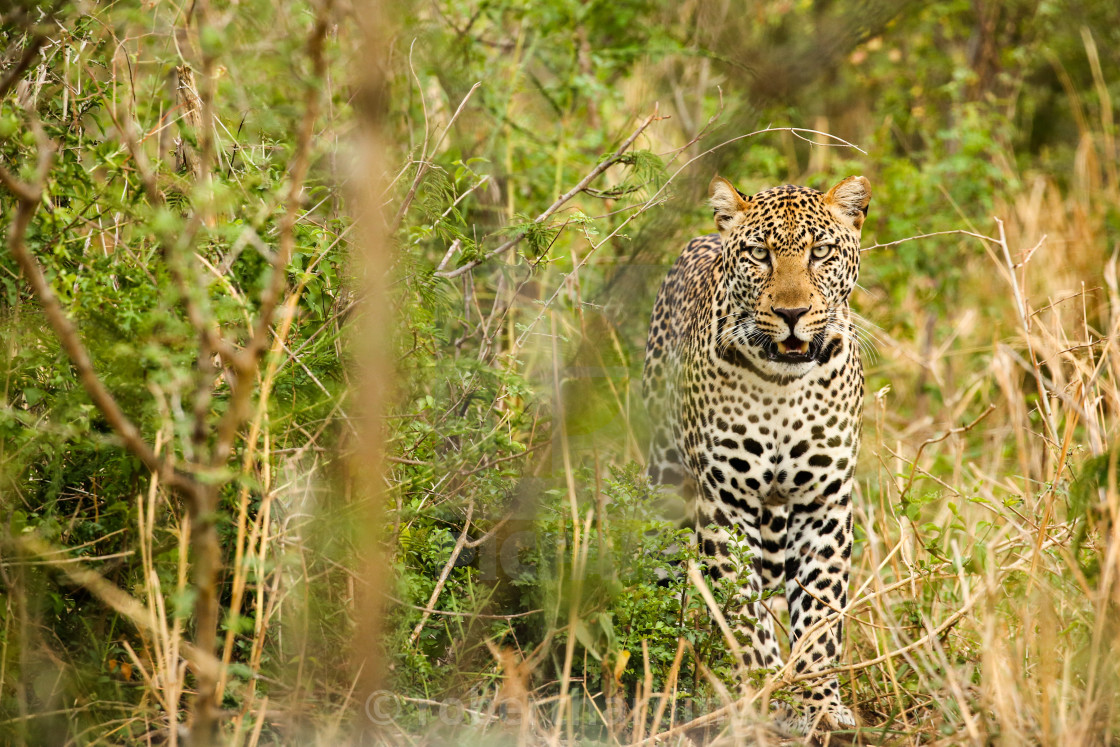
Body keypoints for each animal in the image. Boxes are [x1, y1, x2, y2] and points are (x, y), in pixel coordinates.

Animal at [645, 172, 869, 734]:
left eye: (820, 252)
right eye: (759, 255)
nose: (792, 313)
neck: (782, 387)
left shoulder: (823, 503)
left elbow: (821, 612)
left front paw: (818, 700)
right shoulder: (725, 504)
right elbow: (742, 612)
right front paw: (770, 692)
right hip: (664, 483)